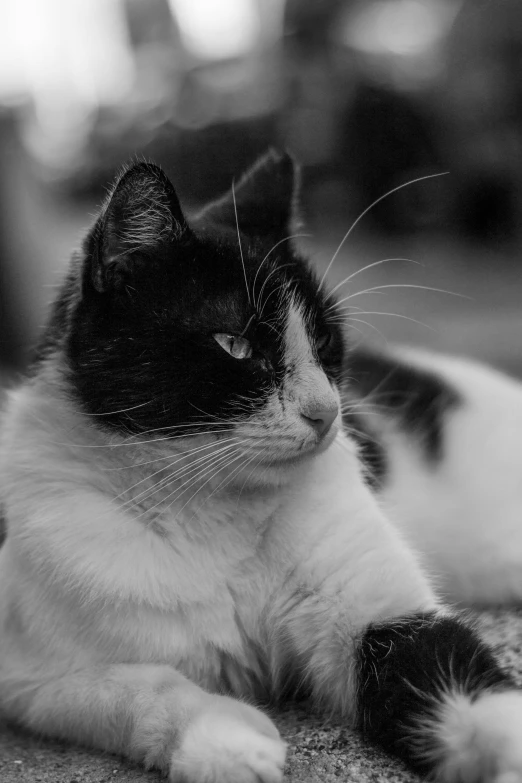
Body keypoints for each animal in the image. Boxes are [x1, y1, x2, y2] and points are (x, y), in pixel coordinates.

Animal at [1, 149, 520, 783]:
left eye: (325, 341)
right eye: (236, 346)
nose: (327, 412)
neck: (213, 514)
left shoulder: (385, 613)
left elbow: (470, 692)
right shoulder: (32, 677)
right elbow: (132, 688)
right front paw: (225, 741)